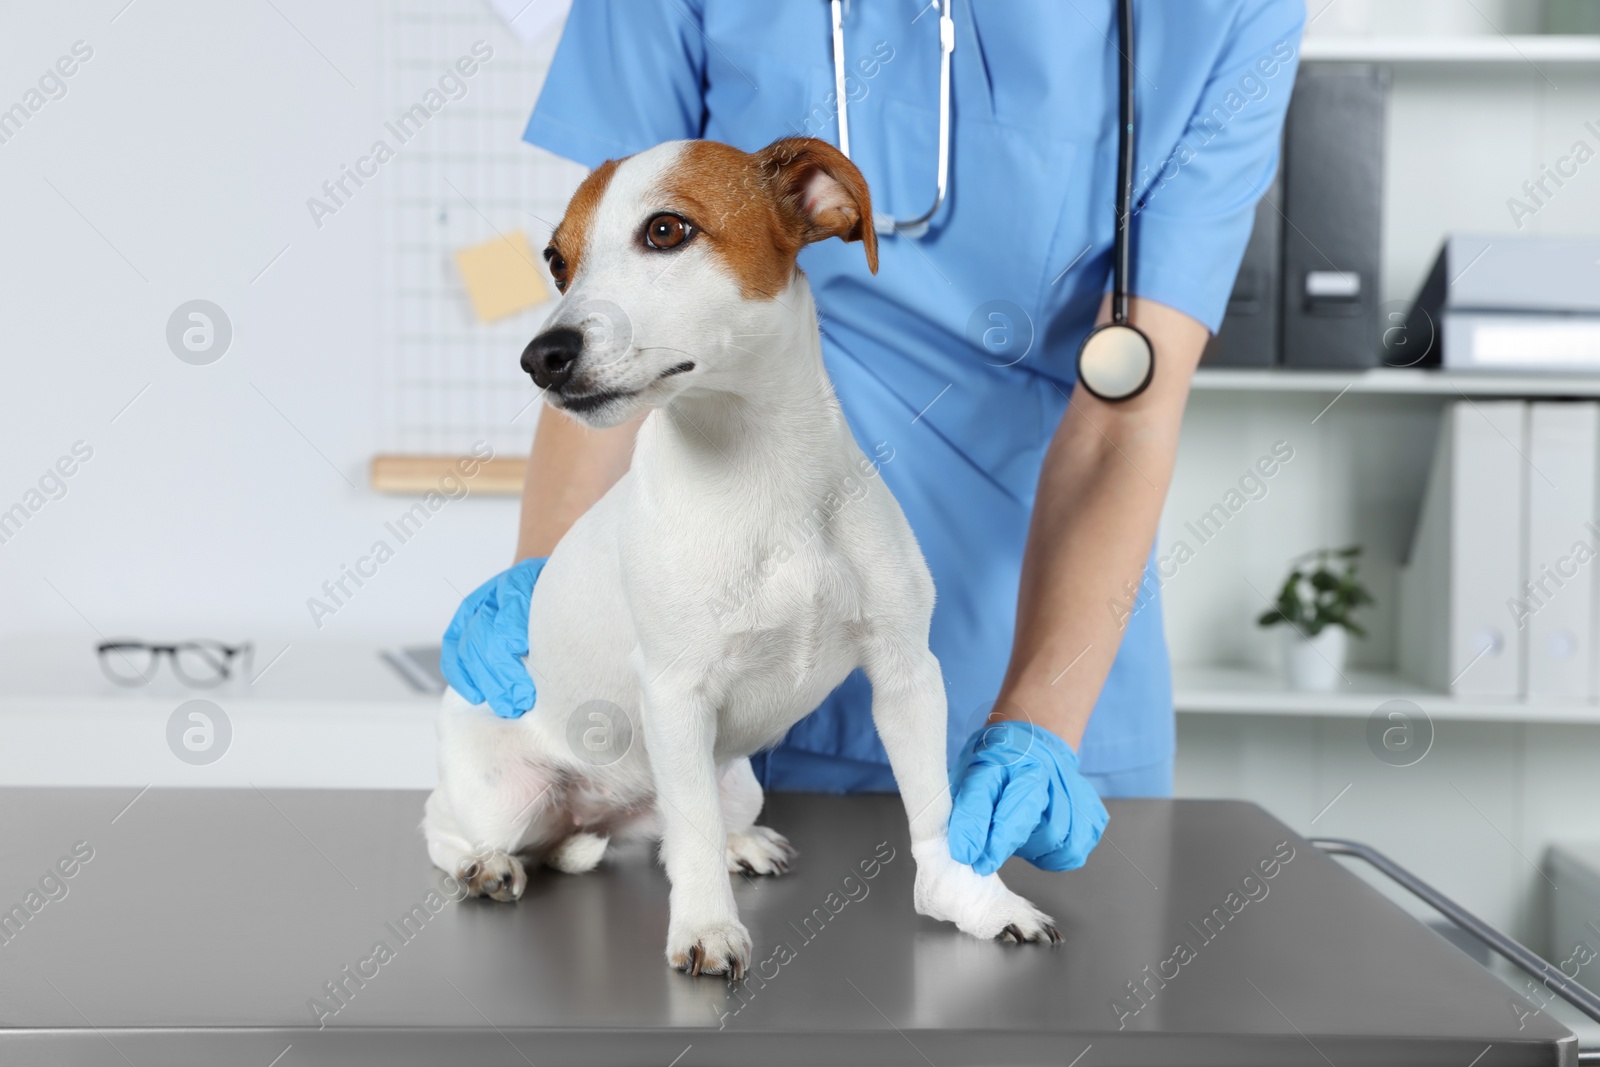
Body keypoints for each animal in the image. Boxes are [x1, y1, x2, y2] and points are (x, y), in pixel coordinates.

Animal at [422, 133, 1062, 979]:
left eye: (666, 230)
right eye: (558, 261)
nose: (542, 355)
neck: (760, 472)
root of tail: (592, 818)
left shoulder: (906, 671)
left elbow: (936, 811)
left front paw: (977, 902)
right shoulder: (673, 693)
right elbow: (687, 837)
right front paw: (705, 927)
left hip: (735, 782)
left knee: (678, 827)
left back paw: (738, 843)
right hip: (506, 794)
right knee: (453, 824)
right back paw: (485, 863)